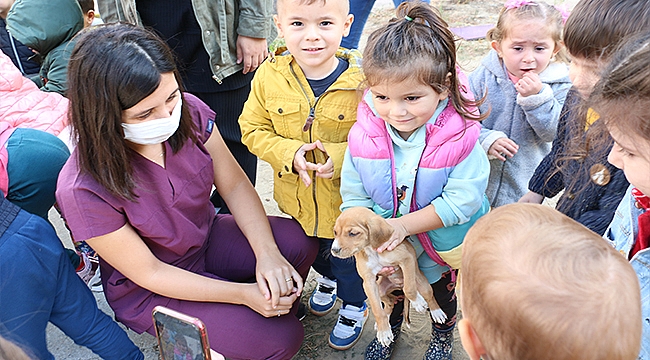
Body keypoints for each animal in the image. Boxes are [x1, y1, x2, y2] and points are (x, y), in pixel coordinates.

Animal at [332, 205, 442, 346]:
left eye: (353, 233)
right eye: (335, 232)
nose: (334, 250)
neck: (372, 250)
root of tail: (397, 286)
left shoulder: (407, 260)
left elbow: (409, 288)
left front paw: (417, 302)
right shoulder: (368, 282)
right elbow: (377, 309)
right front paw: (384, 332)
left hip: (422, 283)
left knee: (428, 295)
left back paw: (436, 312)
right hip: (380, 288)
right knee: (391, 302)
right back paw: (383, 322)